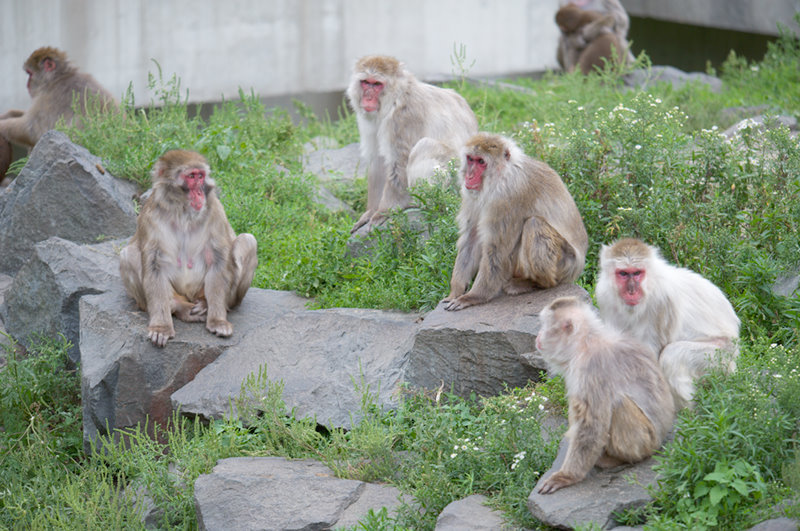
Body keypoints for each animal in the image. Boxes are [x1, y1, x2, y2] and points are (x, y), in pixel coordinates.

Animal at [119, 150, 258, 350]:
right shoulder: (150, 217)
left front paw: (217, 321)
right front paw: (161, 327)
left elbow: (218, 261)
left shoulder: (216, 210)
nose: (199, 191)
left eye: (201, 176)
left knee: (248, 241)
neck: (182, 212)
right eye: (191, 176)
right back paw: (180, 307)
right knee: (127, 254)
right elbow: (154, 264)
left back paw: (206, 304)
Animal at [344, 54, 476, 235]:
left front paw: (384, 211)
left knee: (425, 146)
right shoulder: (369, 121)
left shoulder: (404, 117)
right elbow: (378, 161)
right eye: (365, 82)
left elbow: (399, 163)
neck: (395, 99)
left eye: (377, 84)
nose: (368, 97)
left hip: (462, 182)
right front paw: (371, 211)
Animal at [444, 133, 588, 314]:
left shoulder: (507, 198)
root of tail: (578, 268)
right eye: (470, 159)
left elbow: (497, 250)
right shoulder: (472, 195)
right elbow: (471, 238)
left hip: (566, 264)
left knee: (534, 224)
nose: (469, 177)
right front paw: (455, 291)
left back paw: (535, 284)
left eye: (481, 162)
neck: (501, 176)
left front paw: (473, 297)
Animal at [532, 298, 676, 496]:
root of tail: (660, 442)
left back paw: (619, 459)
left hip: (647, 441)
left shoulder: (591, 370)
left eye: (545, 326)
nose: (538, 336)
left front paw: (567, 476)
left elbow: (592, 426)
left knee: (619, 404)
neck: (585, 342)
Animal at [596, 239, 740, 410]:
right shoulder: (604, 296)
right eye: (623, 274)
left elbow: (652, 354)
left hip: (722, 356)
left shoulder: (663, 299)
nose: (632, 290)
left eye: (637, 273)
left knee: (672, 356)